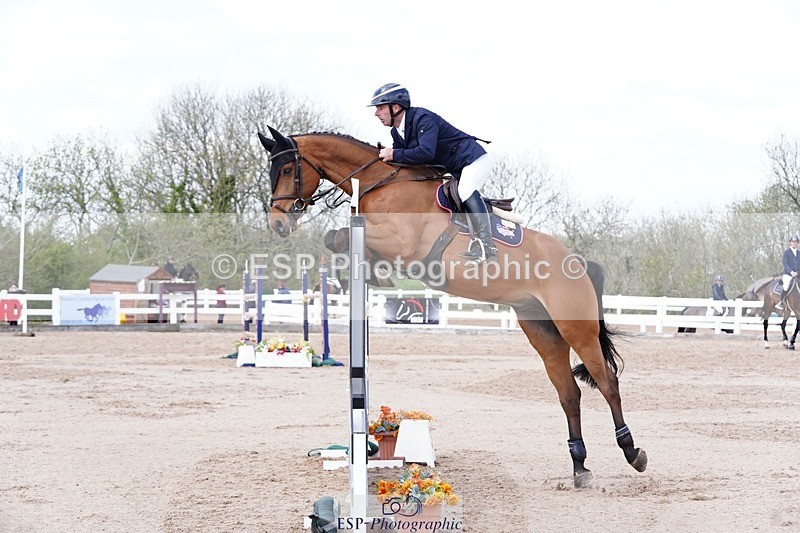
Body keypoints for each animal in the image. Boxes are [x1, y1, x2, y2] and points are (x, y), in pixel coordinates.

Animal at [258, 127, 647, 487]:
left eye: (288, 169)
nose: (277, 222)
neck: (378, 182)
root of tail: (578, 262)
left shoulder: (401, 241)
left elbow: (338, 235)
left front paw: (373, 273)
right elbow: (336, 237)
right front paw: (369, 272)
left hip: (576, 329)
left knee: (608, 382)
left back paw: (632, 452)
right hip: (543, 331)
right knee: (569, 394)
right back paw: (580, 467)